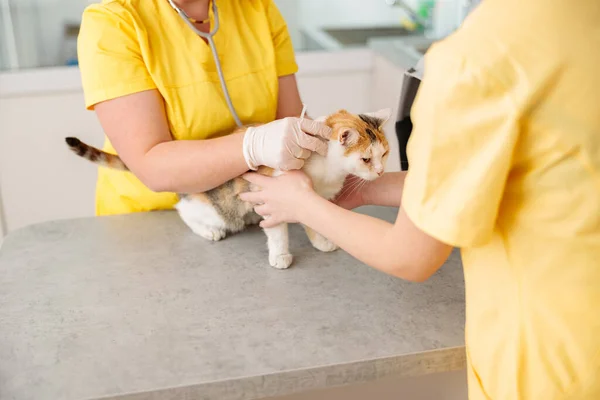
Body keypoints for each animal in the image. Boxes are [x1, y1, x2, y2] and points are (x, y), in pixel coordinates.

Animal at [65, 108, 392, 268]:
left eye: (385, 153)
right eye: (366, 158)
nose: (379, 171)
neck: (327, 171)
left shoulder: (309, 199)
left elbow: (313, 220)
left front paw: (321, 241)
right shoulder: (271, 196)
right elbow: (278, 233)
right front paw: (280, 256)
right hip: (218, 206)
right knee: (184, 209)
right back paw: (208, 230)